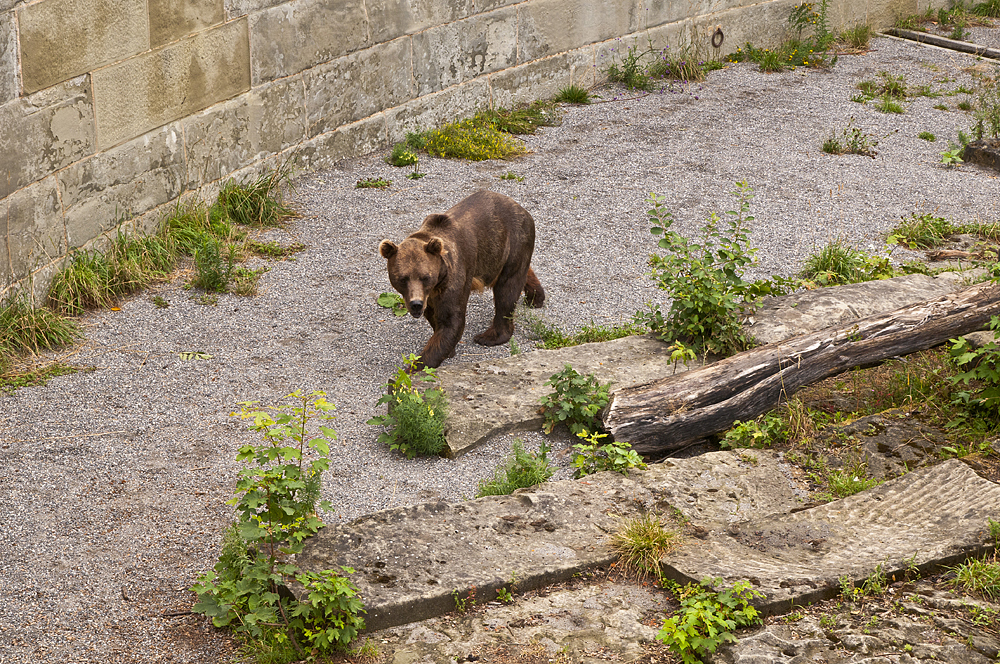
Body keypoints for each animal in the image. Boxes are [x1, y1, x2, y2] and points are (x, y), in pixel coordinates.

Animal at [376, 189, 548, 370]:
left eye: (425, 277)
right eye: (403, 278)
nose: (416, 304)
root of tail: (519, 207)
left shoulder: (454, 280)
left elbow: (452, 321)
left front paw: (416, 367)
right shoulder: (430, 295)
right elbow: (435, 317)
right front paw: (446, 349)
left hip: (513, 240)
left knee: (507, 290)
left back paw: (489, 336)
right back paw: (536, 297)